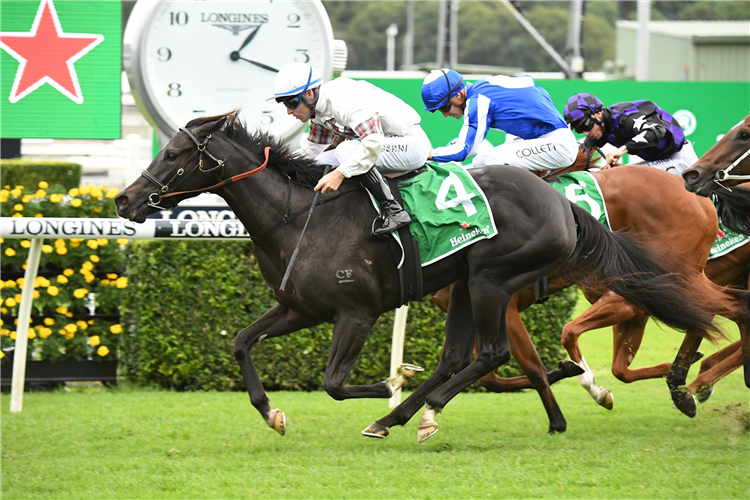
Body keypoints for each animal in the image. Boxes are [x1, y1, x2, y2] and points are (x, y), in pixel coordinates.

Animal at [117, 113, 736, 442]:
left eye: (174, 153)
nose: (125, 200)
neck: (299, 216)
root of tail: (563, 205)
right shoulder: (299, 308)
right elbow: (243, 343)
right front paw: (272, 412)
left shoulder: (356, 312)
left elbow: (335, 382)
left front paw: (393, 379)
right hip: (469, 286)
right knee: (464, 357)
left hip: (490, 281)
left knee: (488, 354)